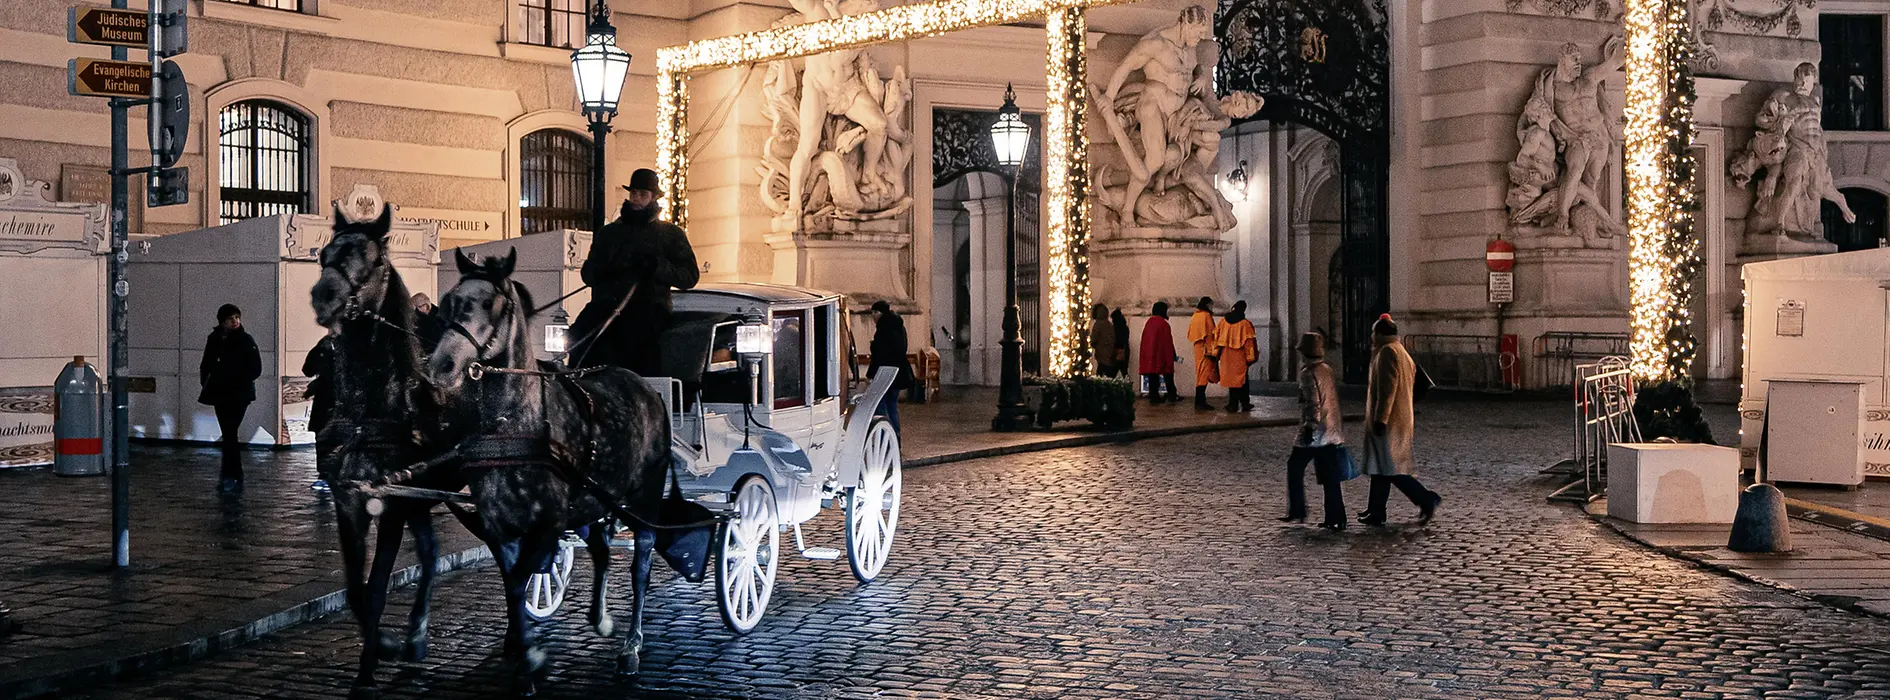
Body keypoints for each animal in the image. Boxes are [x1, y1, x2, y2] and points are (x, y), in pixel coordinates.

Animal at [311, 208, 459, 700]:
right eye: (323, 254)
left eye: (373, 260)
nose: (323, 295)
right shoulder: (351, 502)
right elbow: (357, 592)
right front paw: (383, 649)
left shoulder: (391, 506)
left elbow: (376, 589)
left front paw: (370, 666)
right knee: (431, 556)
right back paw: (414, 640)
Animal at [429, 249, 672, 692]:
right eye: (450, 301)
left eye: (490, 304)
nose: (442, 366)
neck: (514, 425)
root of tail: (645, 386)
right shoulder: (500, 525)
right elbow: (513, 585)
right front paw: (523, 654)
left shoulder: (547, 523)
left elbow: (521, 579)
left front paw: (531, 657)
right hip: (593, 500)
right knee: (601, 549)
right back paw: (600, 618)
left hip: (644, 500)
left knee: (641, 567)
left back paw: (631, 646)